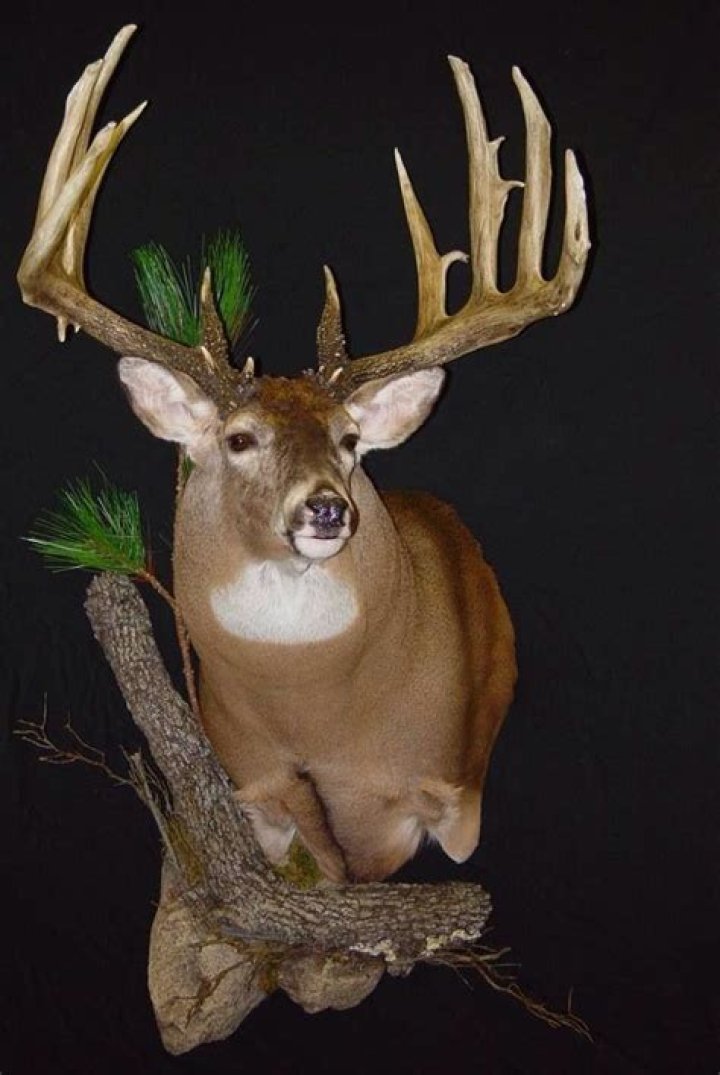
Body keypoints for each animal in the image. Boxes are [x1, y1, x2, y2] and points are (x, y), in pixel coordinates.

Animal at [17, 26, 589, 883]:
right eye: (238, 438)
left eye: (349, 439)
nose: (325, 508)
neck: (315, 715)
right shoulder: (252, 777)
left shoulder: (445, 791)